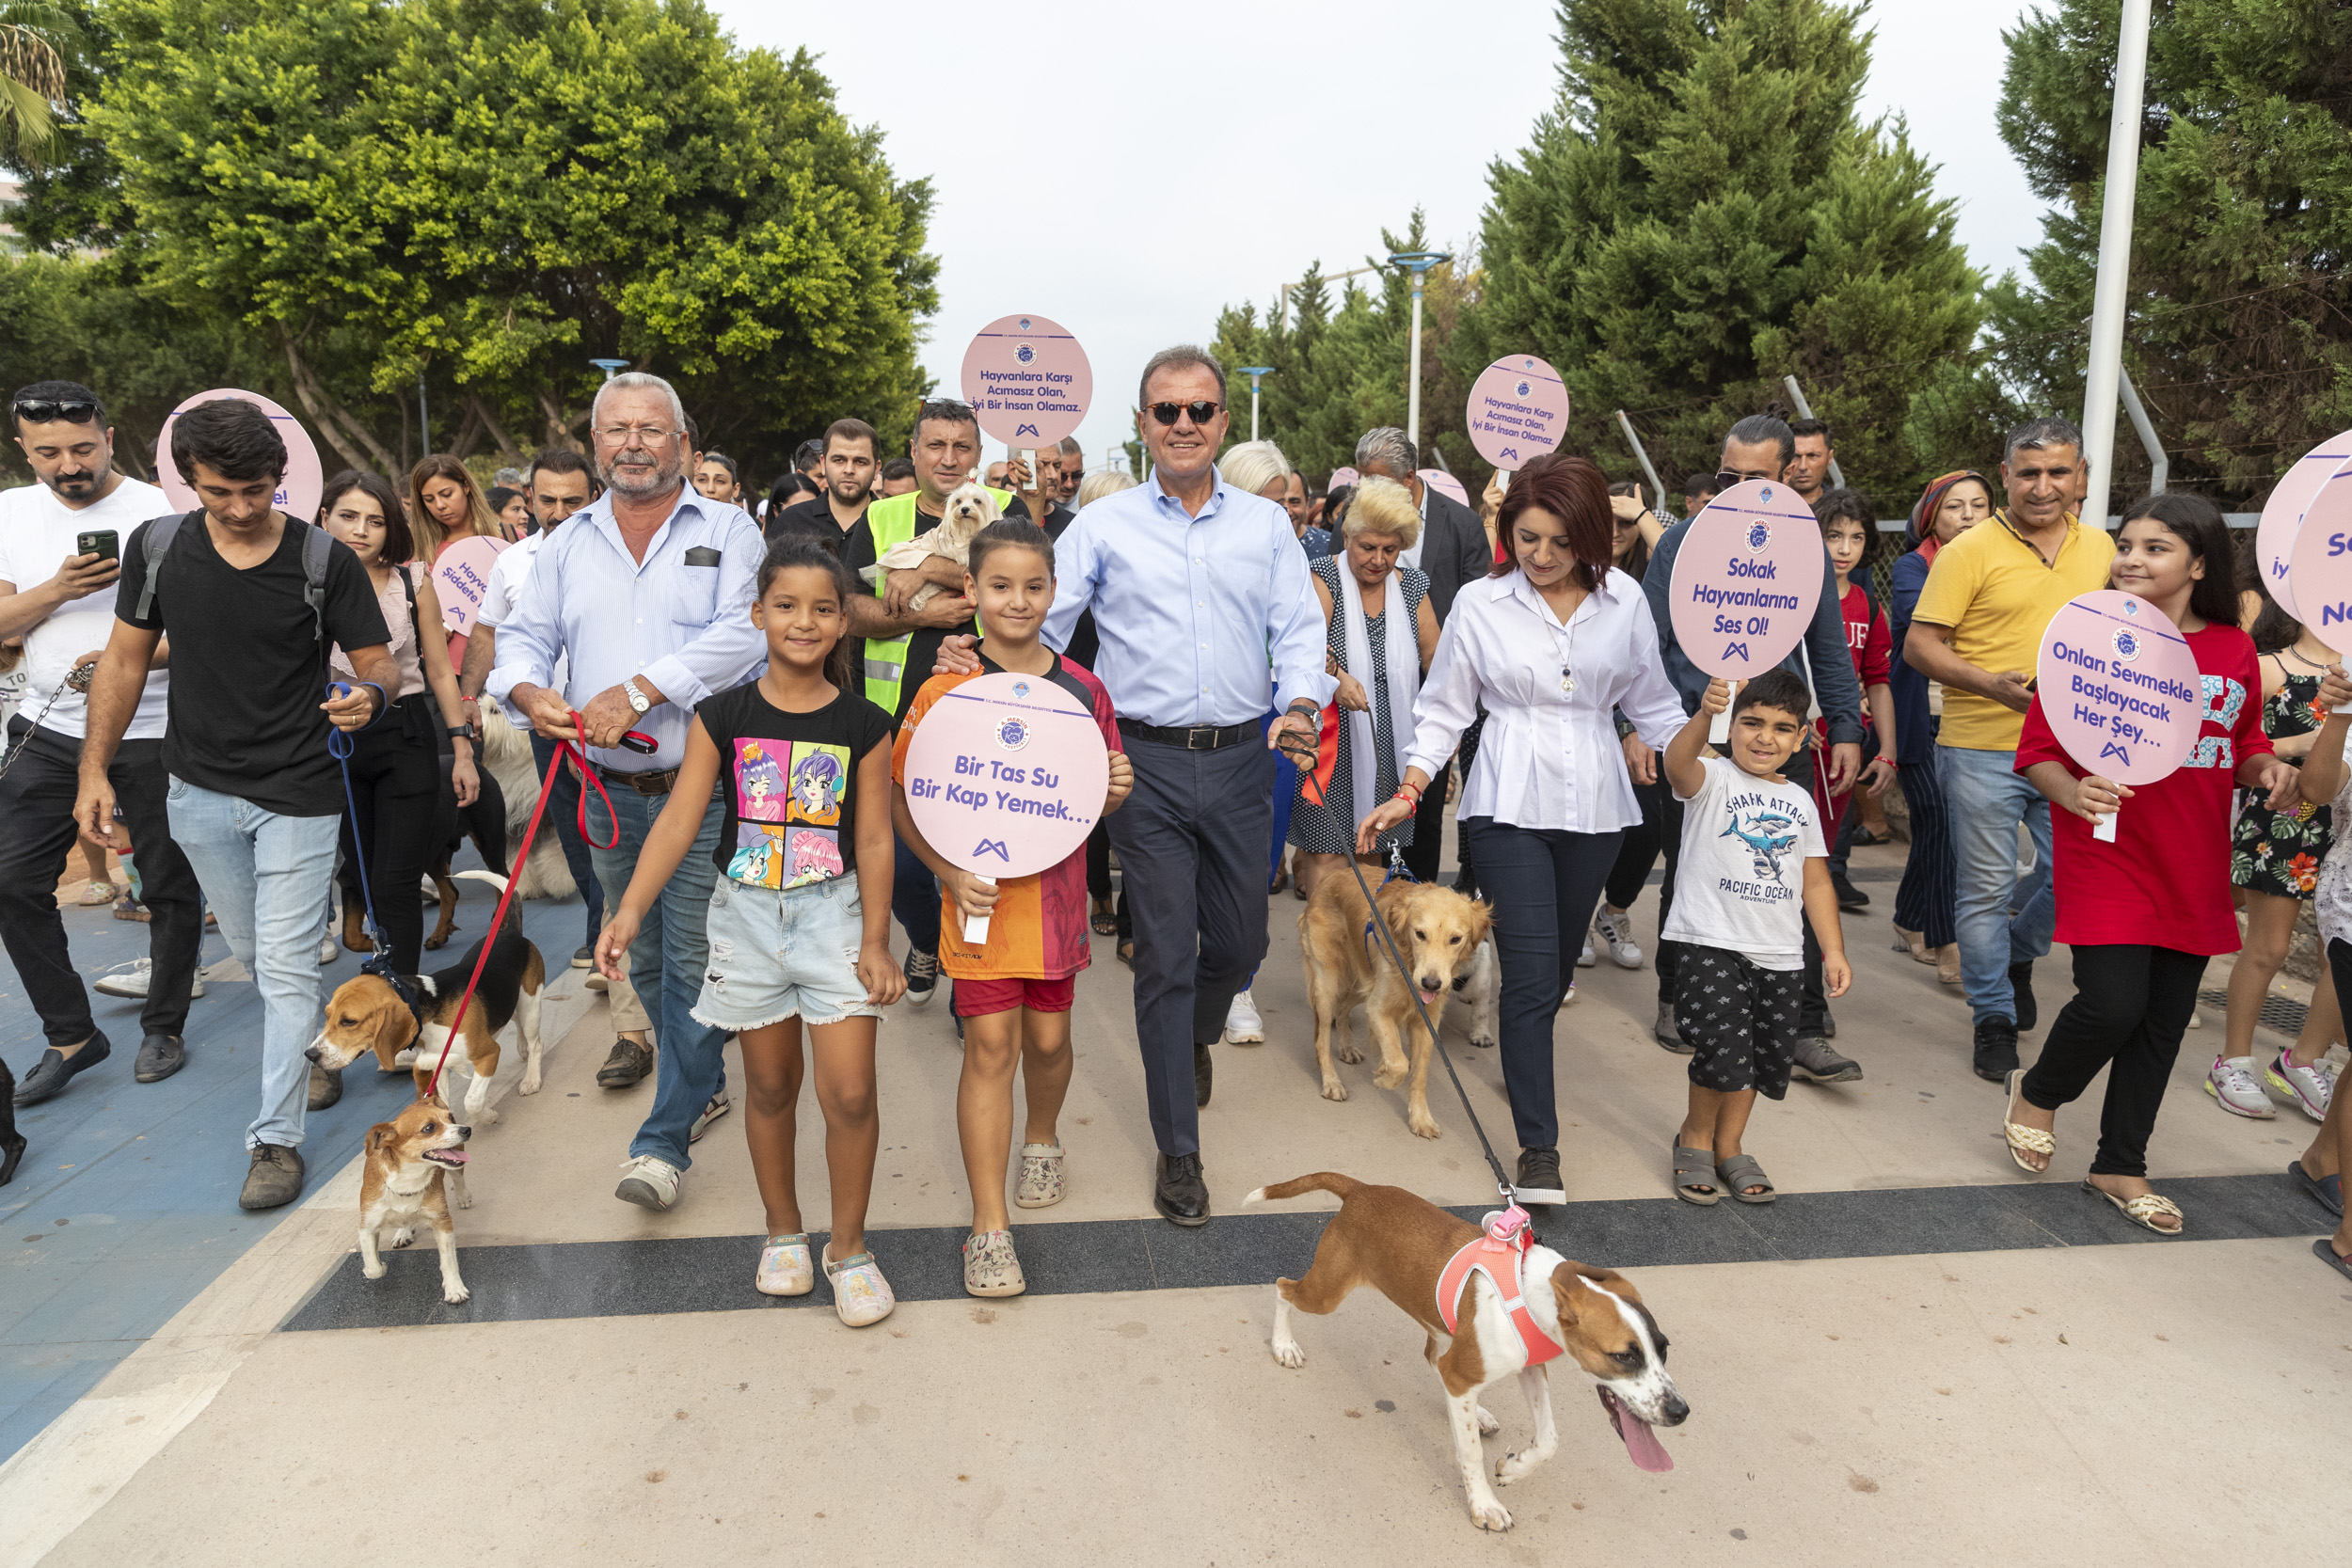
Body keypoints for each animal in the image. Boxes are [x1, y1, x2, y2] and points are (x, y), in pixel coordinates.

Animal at [308, 869, 546, 1128]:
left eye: (349, 1021)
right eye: (326, 1015)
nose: (310, 1055)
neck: (429, 1013)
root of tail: (510, 933)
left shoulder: (488, 1053)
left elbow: (471, 1101)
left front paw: (488, 1115)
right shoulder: (438, 1065)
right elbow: (441, 1102)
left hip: (531, 1003)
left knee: (536, 1042)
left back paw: (531, 1078)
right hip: (514, 999)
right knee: (516, 1021)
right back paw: (522, 1048)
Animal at [358, 1100, 472, 1307]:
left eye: (450, 1118)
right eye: (429, 1128)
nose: (467, 1129)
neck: (408, 1182)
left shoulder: (442, 1222)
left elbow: (449, 1262)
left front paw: (454, 1289)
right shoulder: (367, 1226)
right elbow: (373, 1269)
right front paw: (381, 1266)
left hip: (459, 1155)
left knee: (458, 1176)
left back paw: (463, 1196)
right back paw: (403, 1232)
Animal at [1242, 1175, 1684, 1532]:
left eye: (1663, 1349)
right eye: (1624, 1356)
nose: (1681, 1412)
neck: (1531, 1293)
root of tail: (1362, 1190)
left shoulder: (1529, 1366)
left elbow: (1549, 1439)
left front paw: (1513, 1468)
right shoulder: (1469, 1371)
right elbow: (1470, 1451)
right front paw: (1484, 1505)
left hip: (1441, 1330)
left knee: (1435, 1362)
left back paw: (1480, 1413)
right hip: (1327, 1293)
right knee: (1282, 1288)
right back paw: (1284, 1345)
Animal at [1308, 869, 1486, 1142]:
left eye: (1455, 939)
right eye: (1420, 934)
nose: (1431, 984)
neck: (1409, 963)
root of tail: (1334, 874)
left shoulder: (1426, 1022)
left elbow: (1419, 1073)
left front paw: (1421, 1118)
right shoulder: (1379, 1009)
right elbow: (1399, 1062)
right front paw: (1384, 1079)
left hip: (1364, 980)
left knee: (1343, 1008)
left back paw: (1347, 1048)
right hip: (1328, 980)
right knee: (1323, 1036)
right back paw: (1331, 1082)